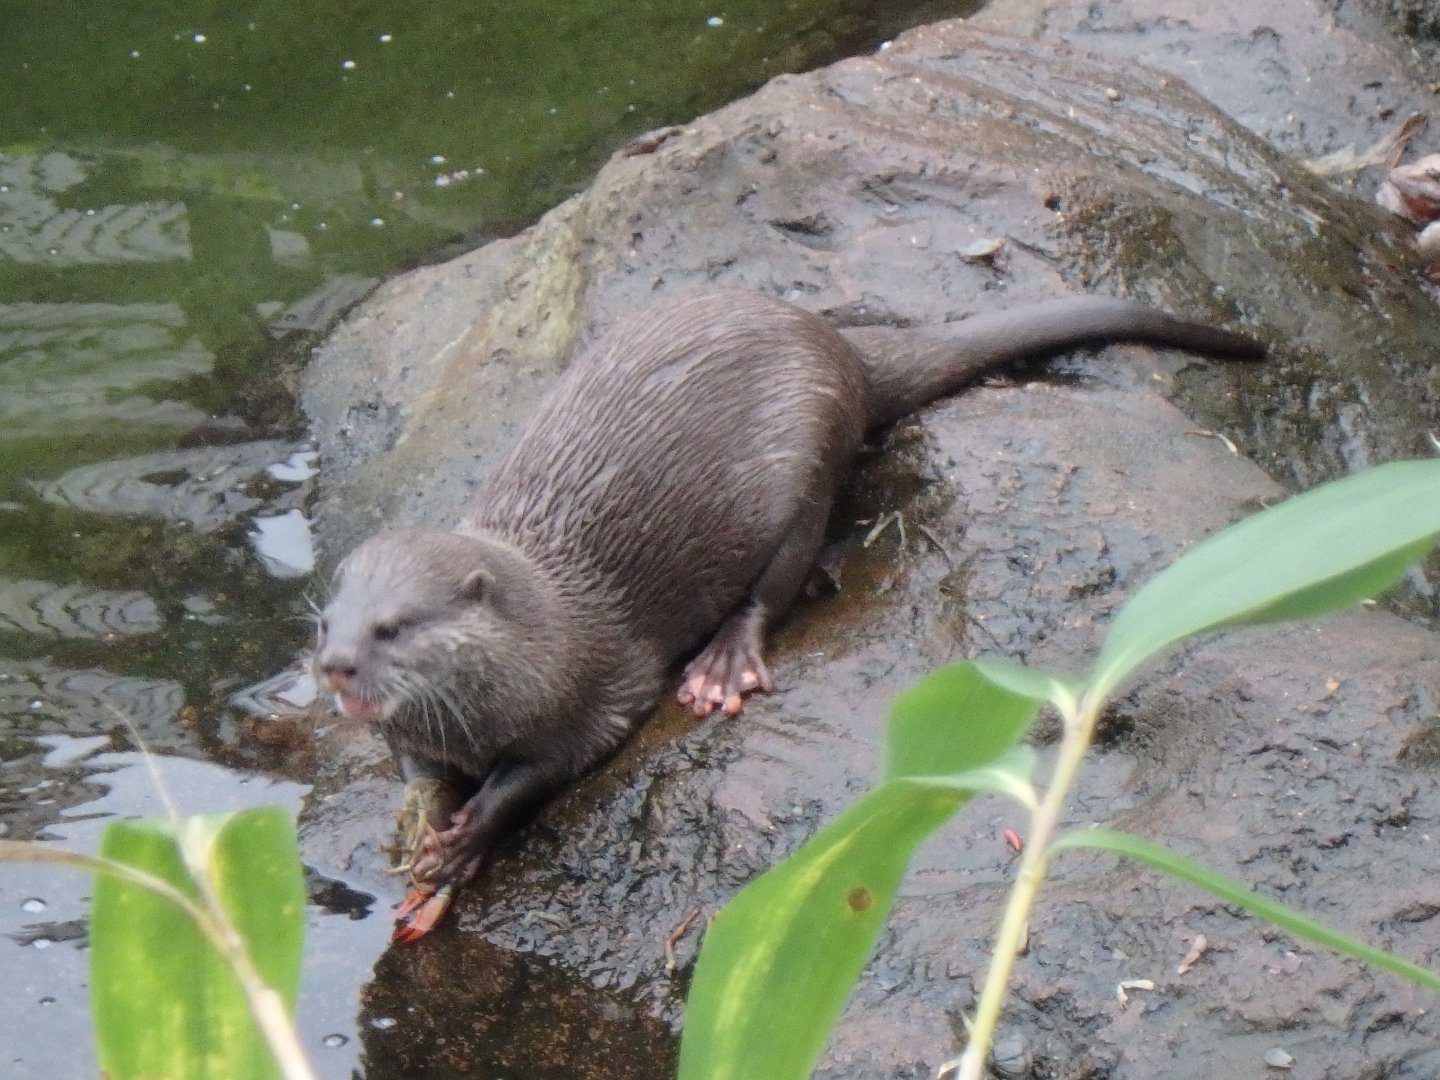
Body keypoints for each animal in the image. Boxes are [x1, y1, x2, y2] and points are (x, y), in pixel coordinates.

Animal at [315, 286, 1264, 938]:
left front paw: (467, 836)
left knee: (782, 573)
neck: (533, 643)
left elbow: (539, 772)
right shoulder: (421, 733)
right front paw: (422, 831)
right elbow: (420, 774)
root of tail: (829, 339)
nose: (333, 666)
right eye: (328, 620)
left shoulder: (586, 690)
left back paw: (723, 664)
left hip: (806, 456)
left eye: (394, 625)